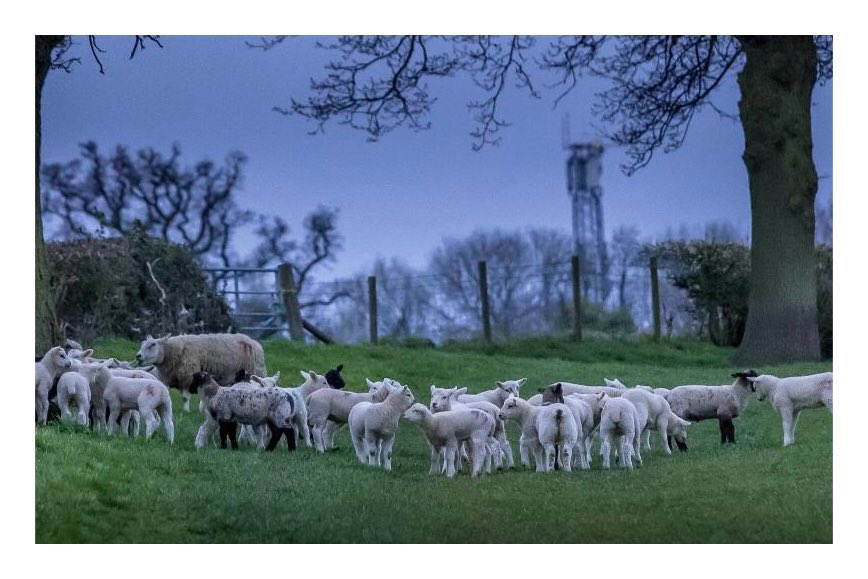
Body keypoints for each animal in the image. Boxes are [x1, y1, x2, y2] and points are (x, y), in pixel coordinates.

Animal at [133, 334, 264, 414]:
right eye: (142, 344)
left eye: (153, 344)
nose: (138, 356)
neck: (171, 352)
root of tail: (253, 341)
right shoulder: (169, 378)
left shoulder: (187, 376)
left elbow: (185, 397)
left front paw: (186, 411)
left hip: (256, 372)